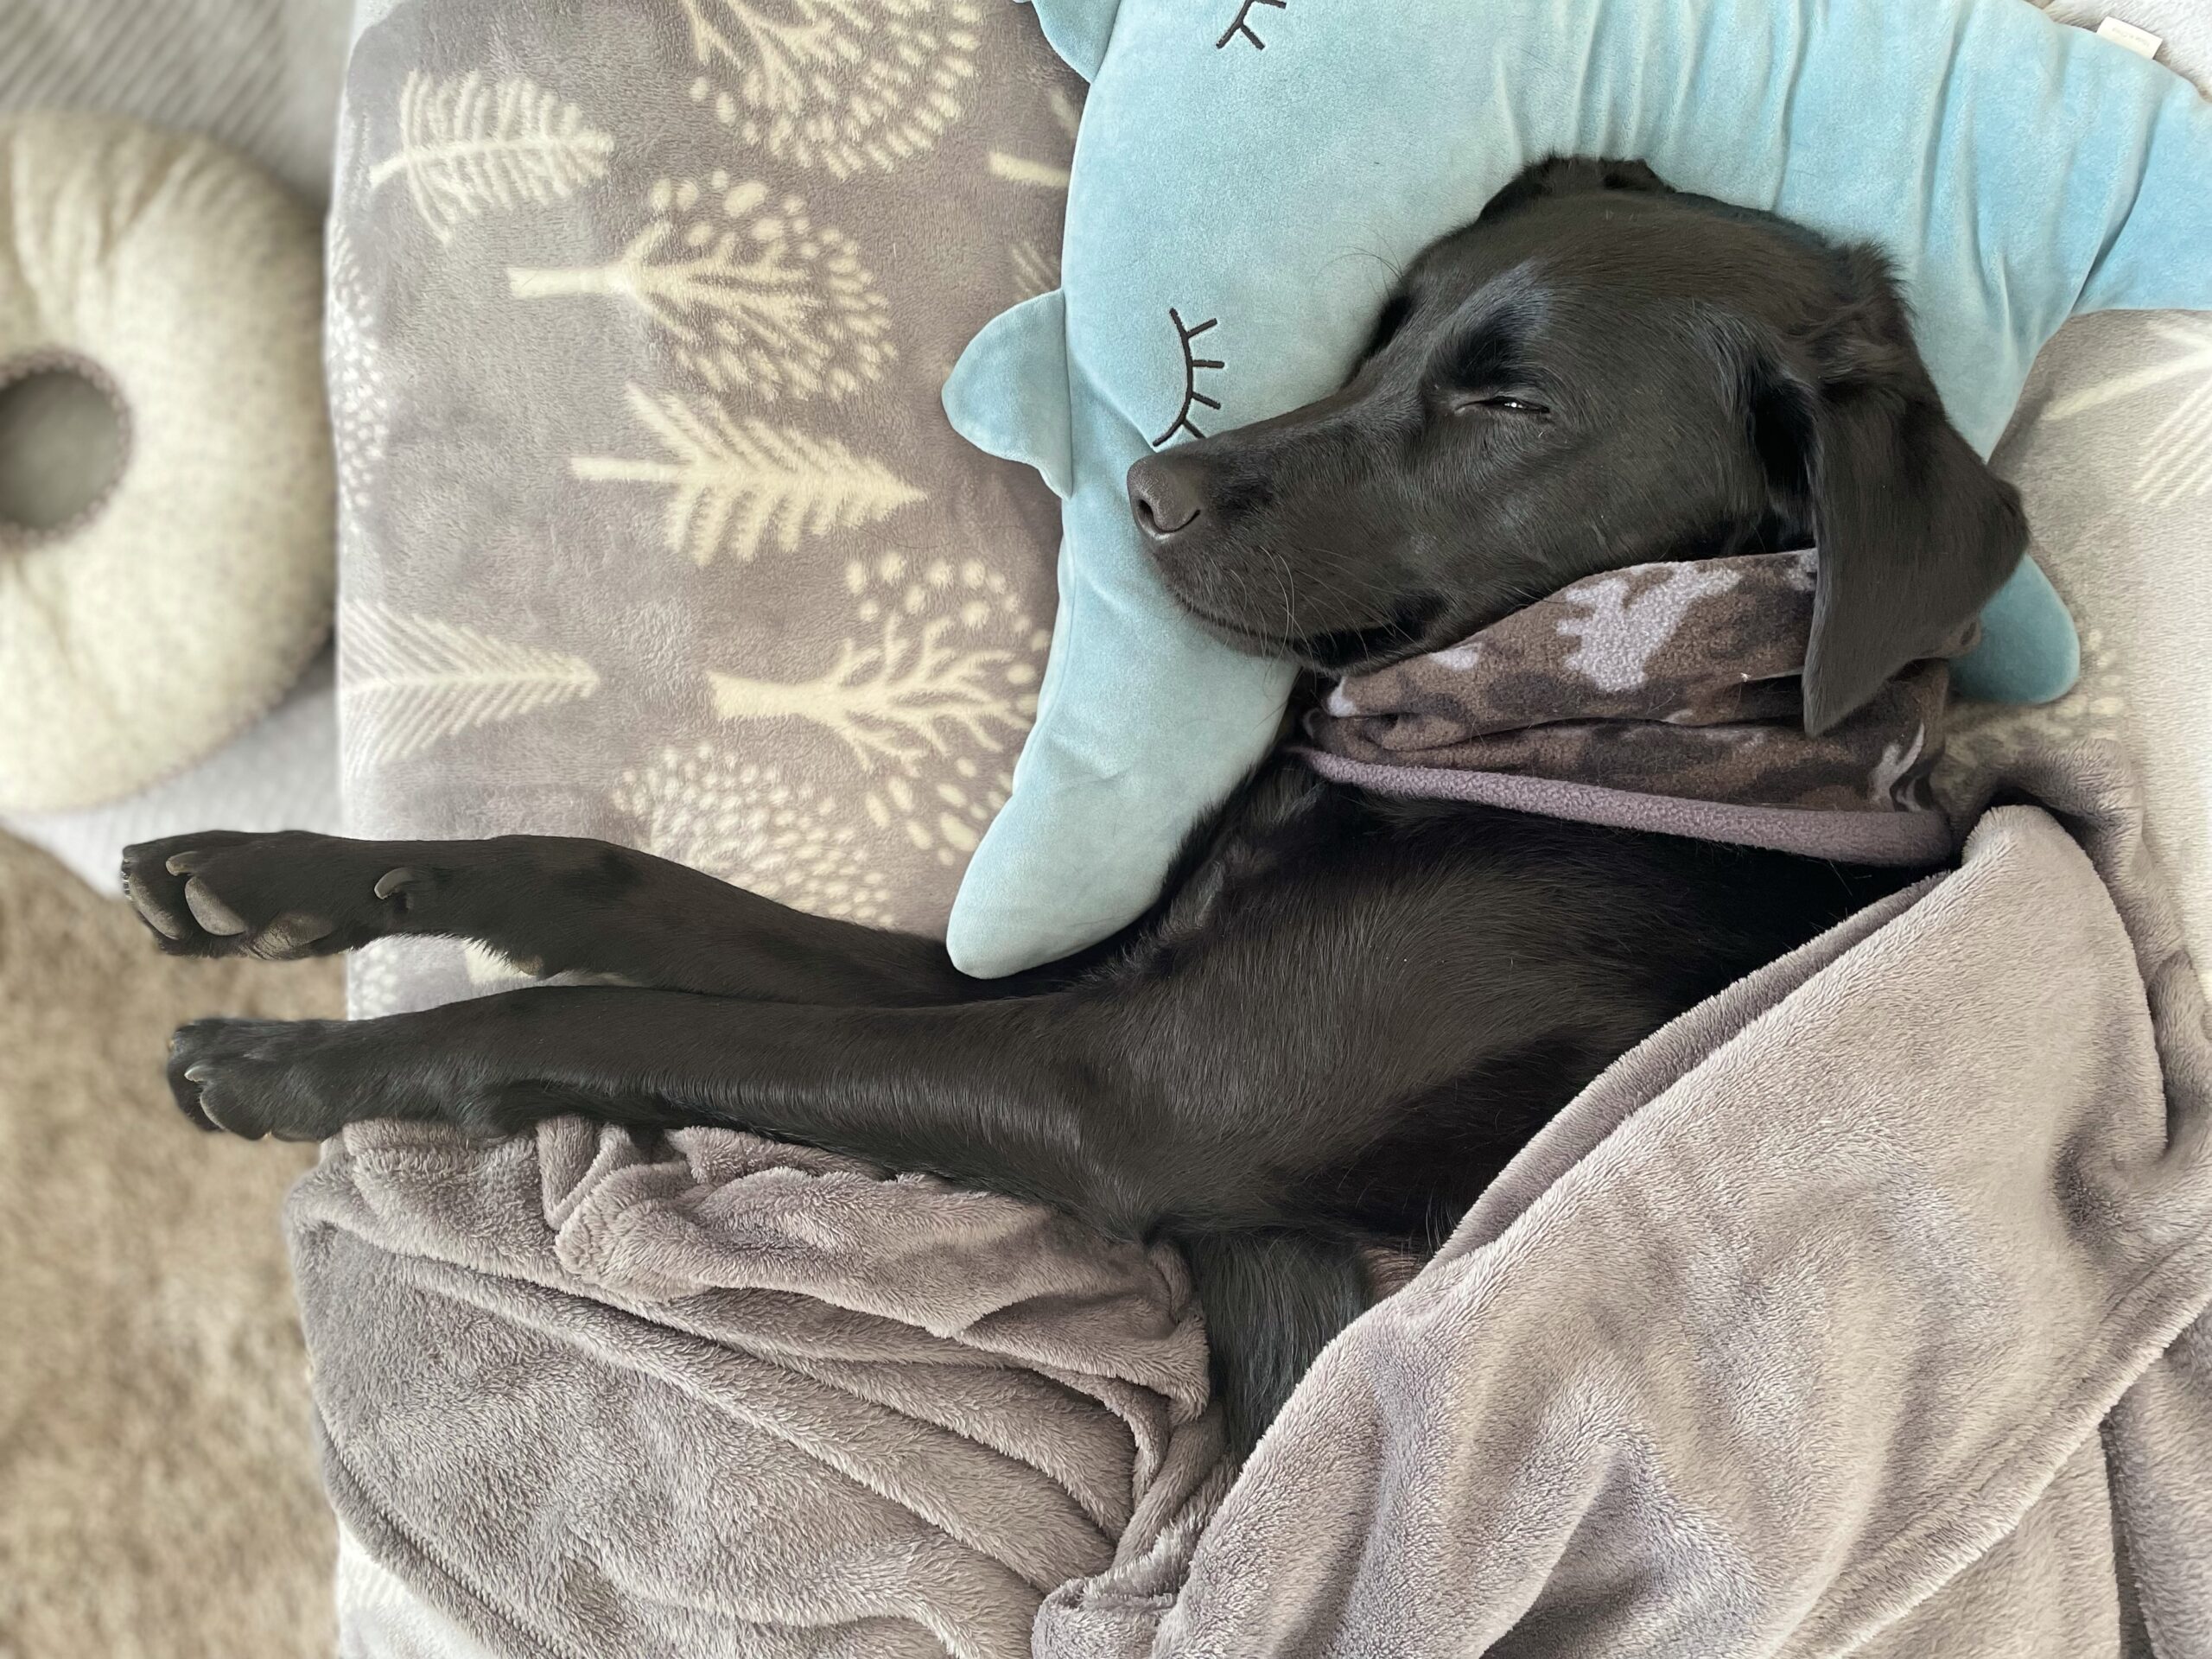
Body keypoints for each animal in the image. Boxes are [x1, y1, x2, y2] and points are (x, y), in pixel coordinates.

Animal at [124, 159, 2026, 1455]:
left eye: (1506, 403)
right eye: (1392, 319)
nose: (1148, 490)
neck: (1589, 735)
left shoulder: (1103, 1084)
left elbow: (624, 1014)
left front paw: (298, 1066)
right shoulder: (1066, 987)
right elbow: (612, 884)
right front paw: (279, 880)